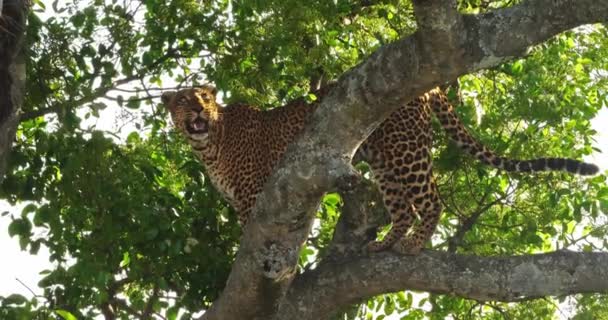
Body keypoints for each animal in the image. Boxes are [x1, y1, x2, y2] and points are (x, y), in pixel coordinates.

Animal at [162, 84, 600, 255]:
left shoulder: (255, 195)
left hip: (407, 151)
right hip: (385, 160)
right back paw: (385, 243)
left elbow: (256, 237)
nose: (198, 108)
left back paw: (413, 244)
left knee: (432, 199)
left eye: (204, 97)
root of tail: (430, 87)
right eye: (184, 99)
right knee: (402, 207)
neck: (209, 143)